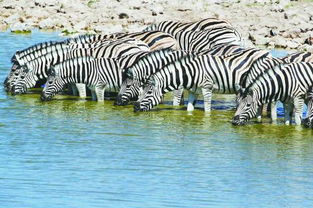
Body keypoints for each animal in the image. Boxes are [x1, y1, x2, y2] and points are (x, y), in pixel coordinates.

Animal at [132, 47, 268, 112]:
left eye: (149, 92)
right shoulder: (193, 91)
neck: (190, 72)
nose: (135, 108)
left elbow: (207, 111)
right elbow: (189, 109)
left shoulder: (207, 88)